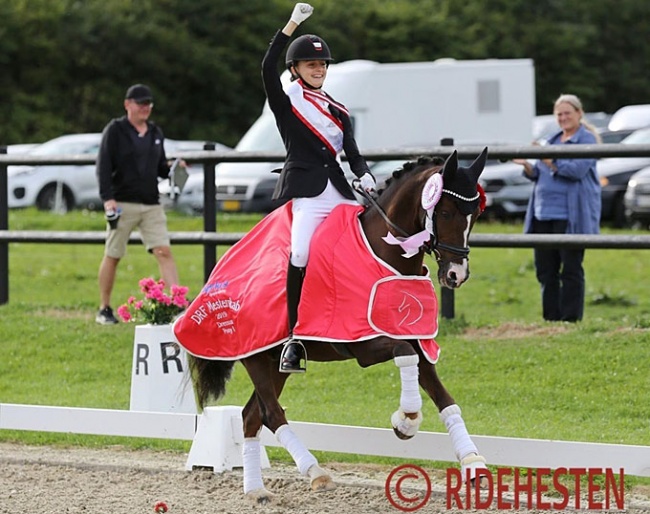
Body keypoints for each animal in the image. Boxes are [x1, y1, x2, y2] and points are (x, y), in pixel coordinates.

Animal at [175, 147, 488, 500]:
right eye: (445, 212)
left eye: (475, 215)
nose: (456, 275)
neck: (386, 253)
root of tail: (217, 274)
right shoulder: (365, 345)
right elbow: (403, 355)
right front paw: (406, 420)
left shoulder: (417, 342)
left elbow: (446, 400)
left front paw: (473, 463)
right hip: (253, 356)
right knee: (271, 413)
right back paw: (315, 472)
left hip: (274, 363)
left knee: (251, 416)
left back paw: (256, 490)